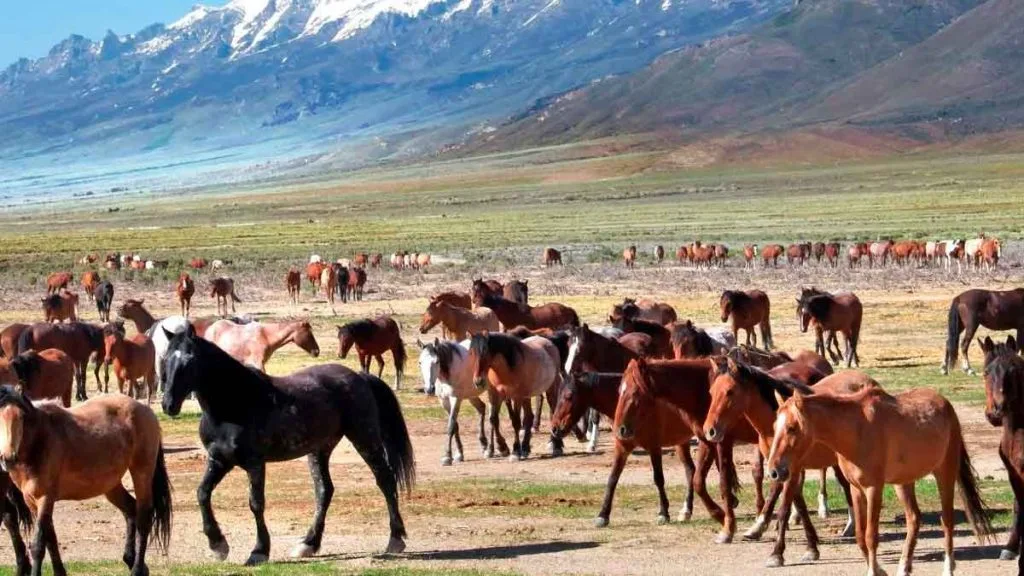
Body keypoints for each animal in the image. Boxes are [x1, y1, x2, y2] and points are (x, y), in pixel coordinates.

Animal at [0, 386, 172, 576]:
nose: (8, 458)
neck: (39, 441)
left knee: (143, 518)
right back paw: (131, 560)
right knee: (130, 510)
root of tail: (145, 409)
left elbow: (38, 544)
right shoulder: (32, 501)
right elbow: (50, 538)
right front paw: (60, 572)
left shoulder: (45, 498)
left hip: (142, 473)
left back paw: (137, 569)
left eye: (21, 417)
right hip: (111, 485)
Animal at [162, 326, 413, 563]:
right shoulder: (219, 460)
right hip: (319, 450)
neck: (236, 402)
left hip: (364, 439)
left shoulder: (255, 463)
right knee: (324, 491)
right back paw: (308, 544)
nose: (168, 405)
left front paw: (259, 551)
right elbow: (202, 494)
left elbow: (256, 503)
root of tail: (360, 377)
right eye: (164, 359)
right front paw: (217, 545)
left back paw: (395, 539)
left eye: (189, 360)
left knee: (385, 480)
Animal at [616, 358, 763, 544]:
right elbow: (698, 481)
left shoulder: (718, 442)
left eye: (635, 392)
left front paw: (723, 517)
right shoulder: (707, 441)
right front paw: (721, 515)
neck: (702, 390)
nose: (620, 429)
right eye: (620, 390)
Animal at [704, 359, 873, 566]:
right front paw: (812, 547)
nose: (710, 430)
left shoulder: (791, 469)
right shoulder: (782, 468)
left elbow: (784, 507)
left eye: (730, 391)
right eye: (711, 392)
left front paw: (777, 553)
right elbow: (799, 504)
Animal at [767, 386, 993, 576]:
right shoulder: (856, 489)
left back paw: (948, 568)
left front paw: (874, 571)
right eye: (775, 426)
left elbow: (870, 536)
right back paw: (903, 567)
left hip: (944, 473)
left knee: (947, 521)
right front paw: (880, 569)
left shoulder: (873, 488)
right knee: (913, 519)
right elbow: (860, 536)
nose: (774, 472)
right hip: (904, 482)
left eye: (792, 427)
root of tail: (946, 405)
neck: (856, 430)